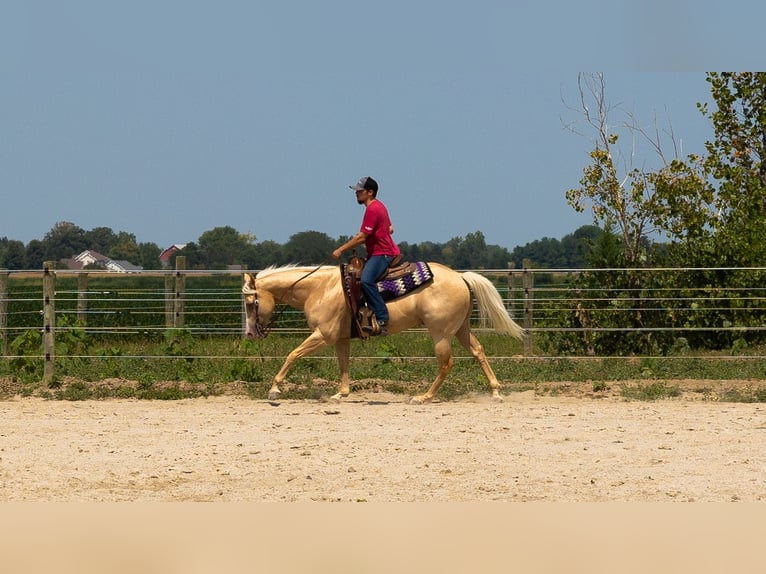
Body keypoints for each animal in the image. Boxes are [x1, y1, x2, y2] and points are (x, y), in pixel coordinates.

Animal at [243, 262, 524, 404]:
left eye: (252, 302)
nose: (250, 334)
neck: (320, 289)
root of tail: (461, 277)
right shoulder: (340, 338)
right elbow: (343, 364)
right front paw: (341, 393)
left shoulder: (323, 335)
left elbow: (293, 355)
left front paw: (274, 390)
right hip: (460, 329)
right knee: (478, 351)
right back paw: (495, 392)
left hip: (441, 334)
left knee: (446, 364)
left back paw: (423, 397)